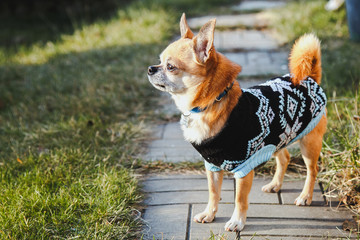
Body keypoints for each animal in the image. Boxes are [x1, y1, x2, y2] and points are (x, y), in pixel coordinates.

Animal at [146, 14, 326, 232]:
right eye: (159, 61)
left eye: (170, 67)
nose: (150, 68)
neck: (208, 106)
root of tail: (310, 77)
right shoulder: (212, 166)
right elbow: (213, 193)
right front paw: (209, 214)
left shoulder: (243, 169)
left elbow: (240, 198)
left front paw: (237, 221)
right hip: (278, 137)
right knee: (284, 158)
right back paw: (275, 185)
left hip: (309, 144)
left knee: (312, 170)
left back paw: (305, 196)